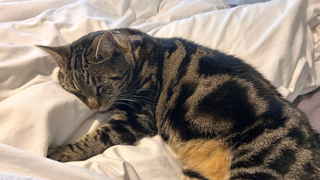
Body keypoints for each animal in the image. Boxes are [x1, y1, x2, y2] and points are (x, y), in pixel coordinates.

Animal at [36, 28, 320, 180]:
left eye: (101, 86)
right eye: (76, 91)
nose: (95, 107)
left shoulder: (137, 119)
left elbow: (96, 137)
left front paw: (60, 153)